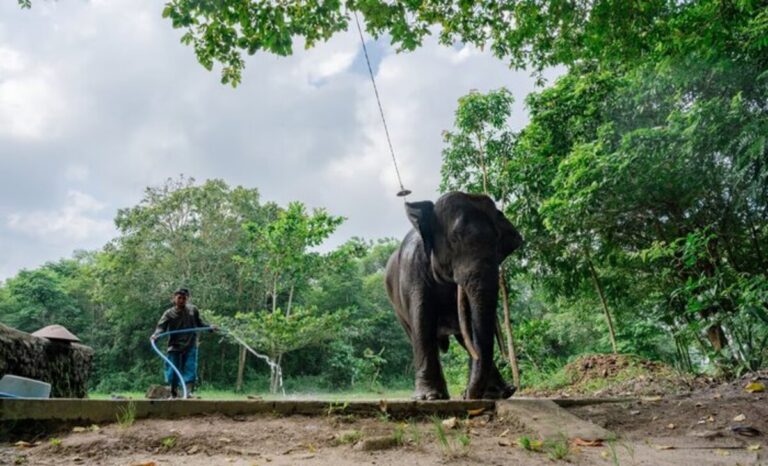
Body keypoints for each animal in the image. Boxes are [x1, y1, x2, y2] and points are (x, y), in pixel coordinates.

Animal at [384, 191, 520, 398]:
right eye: (455, 239)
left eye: (497, 242)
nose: (466, 395)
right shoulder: (413, 273)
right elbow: (422, 321)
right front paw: (429, 397)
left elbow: (470, 328)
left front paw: (491, 393)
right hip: (396, 307)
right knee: (414, 333)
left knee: (463, 337)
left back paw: (503, 392)